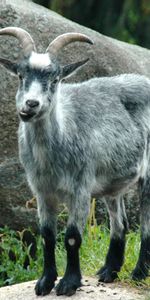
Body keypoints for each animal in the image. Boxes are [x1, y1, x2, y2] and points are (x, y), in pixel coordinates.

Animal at [0, 27, 149, 296]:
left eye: (56, 79)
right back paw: (108, 272)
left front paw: (68, 283)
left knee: (145, 222)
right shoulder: (42, 191)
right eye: (20, 76)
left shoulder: (80, 188)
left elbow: (71, 237)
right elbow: (47, 235)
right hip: (112, 184)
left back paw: (139, 273)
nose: (31, 104)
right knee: (119, 222)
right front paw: (45, 282)